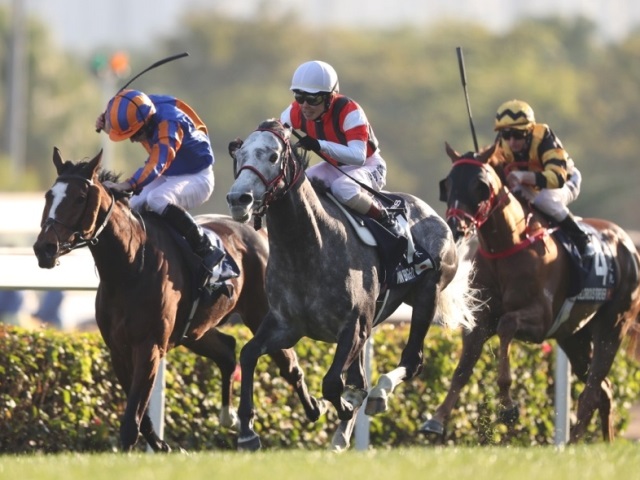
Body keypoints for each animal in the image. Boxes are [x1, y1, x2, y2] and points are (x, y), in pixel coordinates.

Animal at [33, 148, 316, 452]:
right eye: (49, 196)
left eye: (80, 197)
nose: (44, 248)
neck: (129, 268)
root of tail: (258, 232)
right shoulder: (118, 349)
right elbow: (140, 414)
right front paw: (161, 444)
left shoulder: (150, 347)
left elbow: (132, 419)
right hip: (195, 330)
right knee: (227, 350)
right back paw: (229, 417)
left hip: (261, 312)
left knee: (289, 366)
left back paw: (314, 408)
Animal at [225, 119, 476, 450]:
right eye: (239, 156)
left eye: (273, 156)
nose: (238, 199)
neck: (306, 248)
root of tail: (434, 214)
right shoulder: (286, 325)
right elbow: (248, 354)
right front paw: (247, 431)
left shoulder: (354, 326)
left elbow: (334, 383)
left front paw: (344, 405)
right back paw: (342, 433)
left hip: (426, 294)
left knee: (412, 361)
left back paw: (379, 395)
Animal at [422, 142, 640, 442]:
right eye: (448, 183)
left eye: (480, 186)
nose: (457, 227)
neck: (507, 247)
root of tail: (628, 244)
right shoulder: (480, 320)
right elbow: (462, 370)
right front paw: (436, 419)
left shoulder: (540, 320)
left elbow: (506, 325)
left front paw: (508, 406)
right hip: (574, 336)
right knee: (603, 390)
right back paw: (599, 443)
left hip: (613, 325)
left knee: (593, 390)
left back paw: (572, 444)